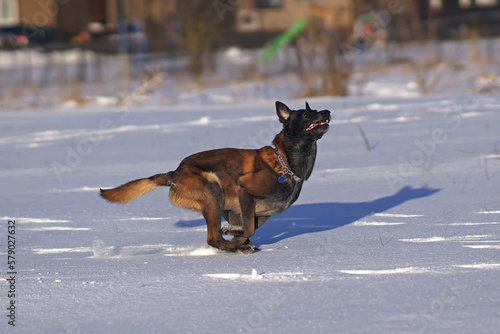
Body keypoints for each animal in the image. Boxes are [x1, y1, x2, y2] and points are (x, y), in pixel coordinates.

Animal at [99, 100, 330, 252]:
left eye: (316, 110)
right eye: (305, 115)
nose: (327, 110)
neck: (285, 163)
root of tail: (175, 173)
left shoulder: (251, 212)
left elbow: (249, 229)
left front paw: (239, 239)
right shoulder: (244, 189)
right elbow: (248, 229)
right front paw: (235, 238)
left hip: (218, 203)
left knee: (215, 236)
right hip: (213, 193)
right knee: (213, 237)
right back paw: (232, 247)